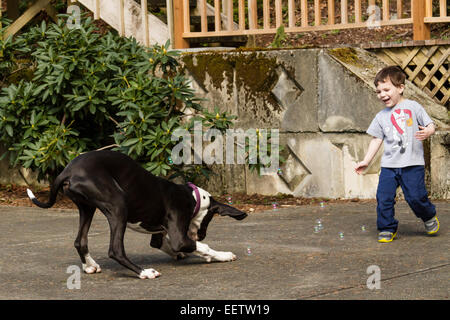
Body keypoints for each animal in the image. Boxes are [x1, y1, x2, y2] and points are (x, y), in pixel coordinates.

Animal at [26, 150, 248, 278]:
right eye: (209, 219)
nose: (201, 234)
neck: (192, 197)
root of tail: (67, 171)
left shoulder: (160, 233)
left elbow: (162, 243)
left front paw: (182, 254)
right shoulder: (180, 236)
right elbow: (200, 246)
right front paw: (222, 255)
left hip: (87, 207)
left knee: (80, 241)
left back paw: (90, 266)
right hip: (118, 204)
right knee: (115, 250)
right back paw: (144, 272)